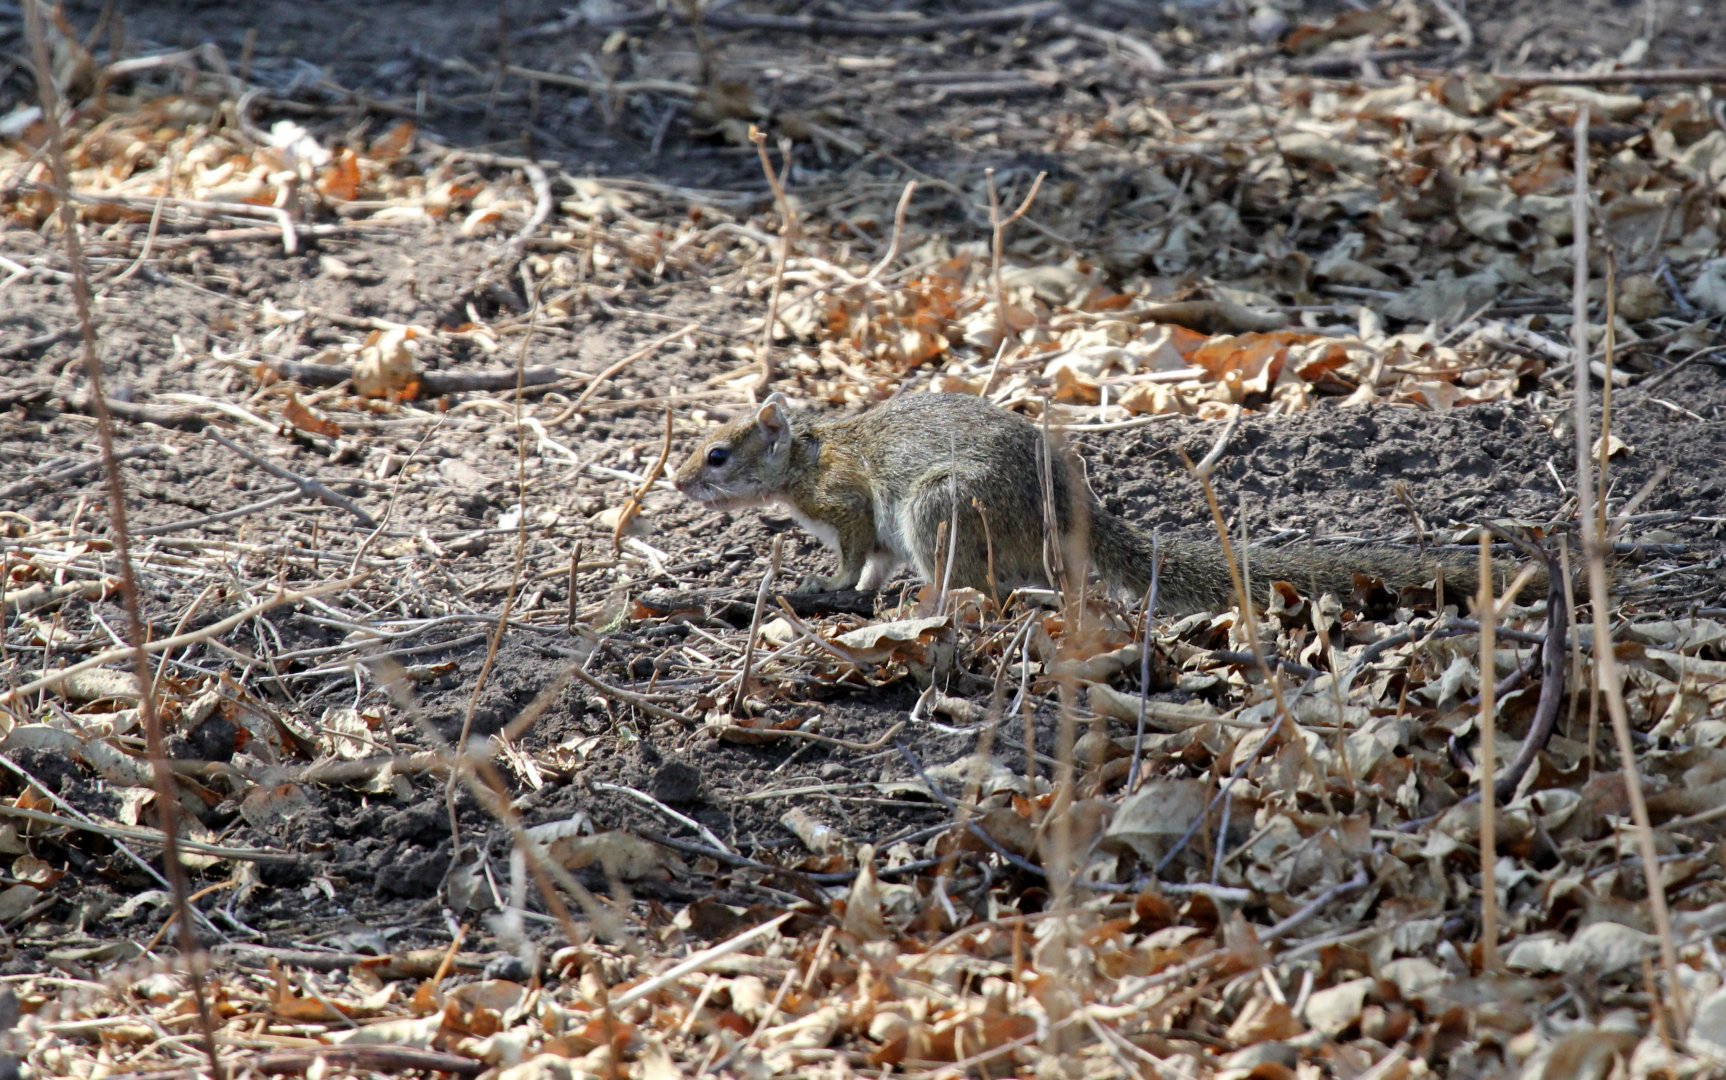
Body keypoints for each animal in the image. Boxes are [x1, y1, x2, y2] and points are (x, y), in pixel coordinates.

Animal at [673, 391, 1529, 615]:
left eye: (717, 454)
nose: (679, 482)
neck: (807, 453)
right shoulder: (875, 536)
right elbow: (870, 570)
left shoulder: (850, 506)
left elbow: (855, 561)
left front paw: (830, 590)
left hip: (937, 511)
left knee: (982, 586)